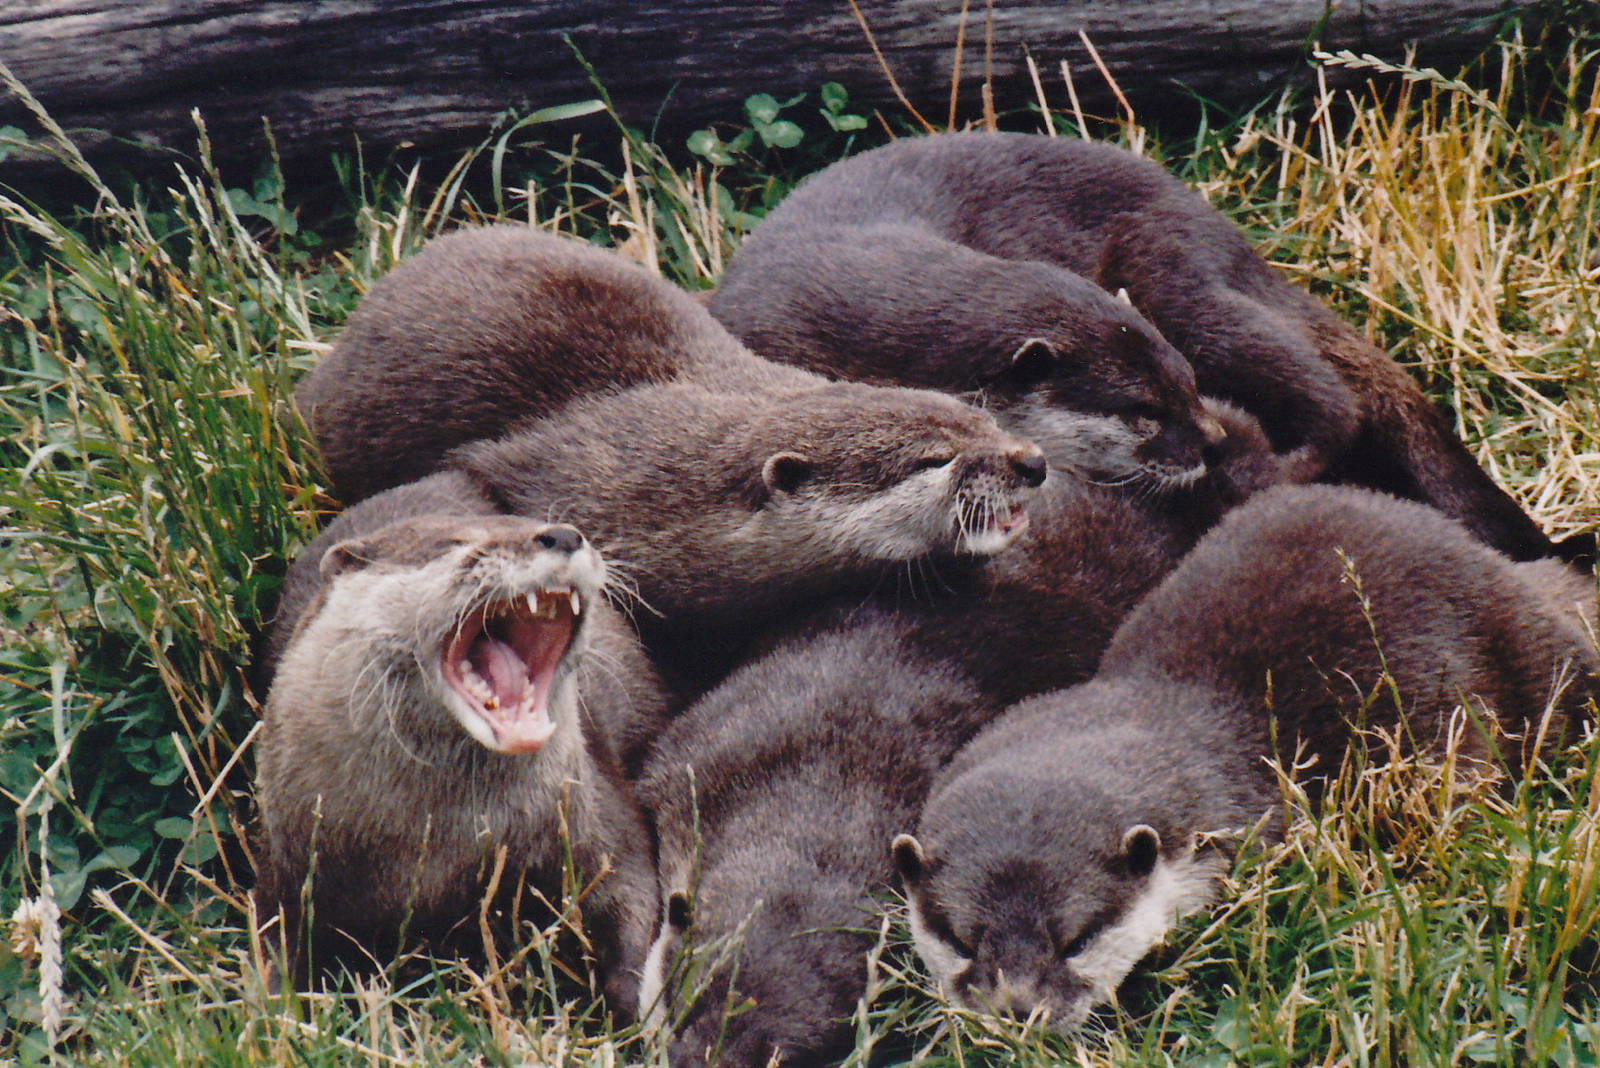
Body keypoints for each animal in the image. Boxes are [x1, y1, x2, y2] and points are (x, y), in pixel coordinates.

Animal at [254, 505, 661, 1008]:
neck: (445, 843)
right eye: (456, 543)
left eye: (536, 520)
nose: (565, 535)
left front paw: (633, 1004)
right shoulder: (287, 857)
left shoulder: (596, 811)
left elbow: (633, 891)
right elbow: (274, 943)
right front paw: (277, 1011)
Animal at [710, 131, 1573, 563]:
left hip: (1180, 281)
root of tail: (1208, 216)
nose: (1212, 438)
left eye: (1186, 384)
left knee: (1337, 395)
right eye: (1141, 411)